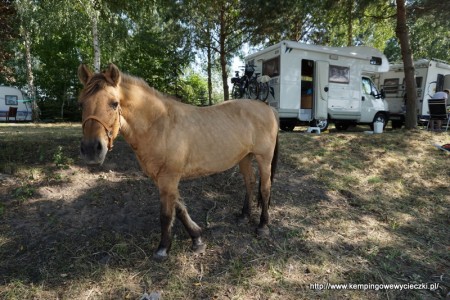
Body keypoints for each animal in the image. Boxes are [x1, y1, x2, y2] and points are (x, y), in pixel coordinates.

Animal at [79, 63, 280, 260]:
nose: (91, 150)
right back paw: (244, 216)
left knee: (265, 188)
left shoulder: (169, 178)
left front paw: (163, 249)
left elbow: (166, 214)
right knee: (250, 182)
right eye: (81, 103)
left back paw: (263, 226)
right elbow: (180, 208)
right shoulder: (161, 178)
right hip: (245, 157)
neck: (159, 125)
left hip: (264, 158)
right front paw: (197, 239)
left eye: (114, 104)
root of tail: (267, 108)